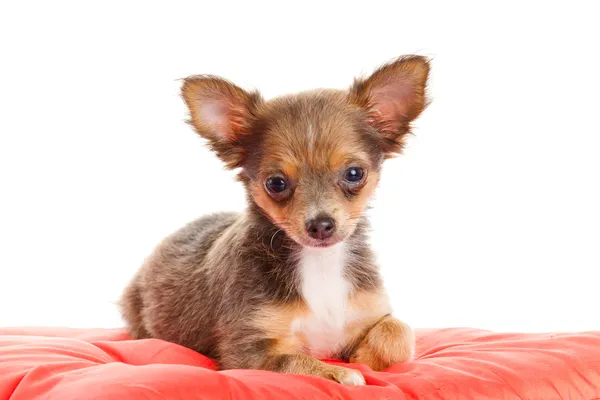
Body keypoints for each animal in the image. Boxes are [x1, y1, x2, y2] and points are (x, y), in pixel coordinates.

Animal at [120, 54, 432, 386]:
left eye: (354, 173)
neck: (320, 264)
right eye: (276, 183)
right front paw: (342, 373)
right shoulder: (248, 351)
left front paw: (364, 356)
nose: (321, 225)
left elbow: (400, 332)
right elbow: (298, 360)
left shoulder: (371, 312)